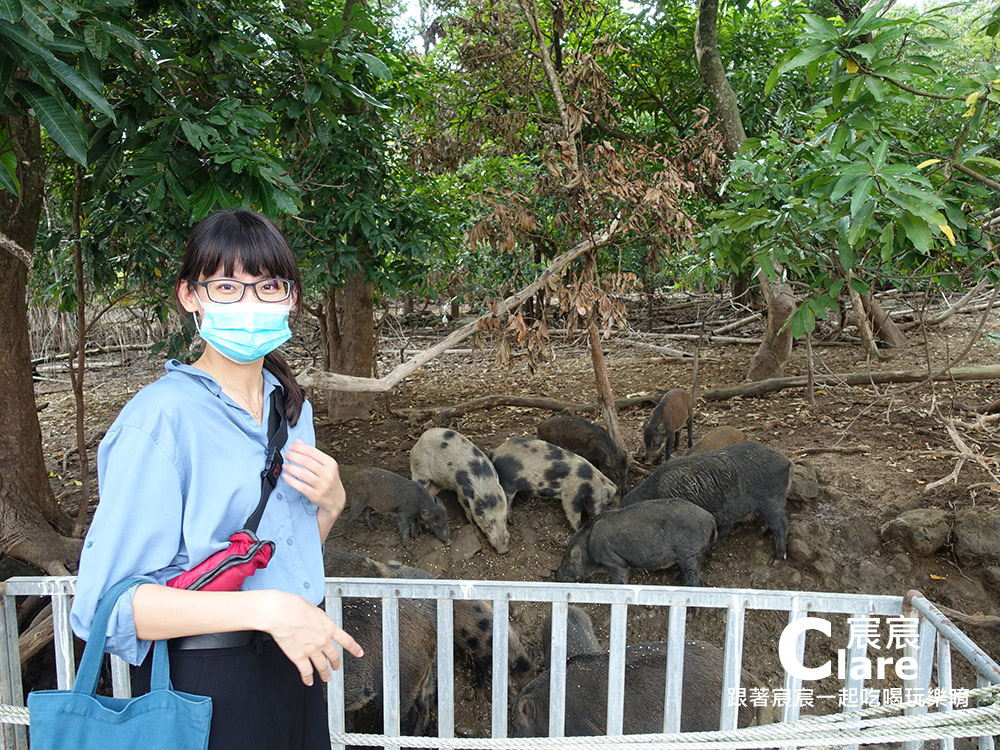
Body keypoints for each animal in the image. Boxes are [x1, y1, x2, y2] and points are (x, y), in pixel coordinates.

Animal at [490, 438, 620, 532]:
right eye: (609, 503)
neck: (590, 485)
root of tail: (494, 451)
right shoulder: (571, 493)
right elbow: (572, 511)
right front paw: (578, 528)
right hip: (508, 482)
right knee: (507, 501)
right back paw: (513, 521)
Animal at [556, 500, 720, 588]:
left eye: (568, 561)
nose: (555, 575)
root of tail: (711, 518)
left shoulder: (616, 562)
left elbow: (620, 579)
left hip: (689, 554)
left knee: (697, 582)